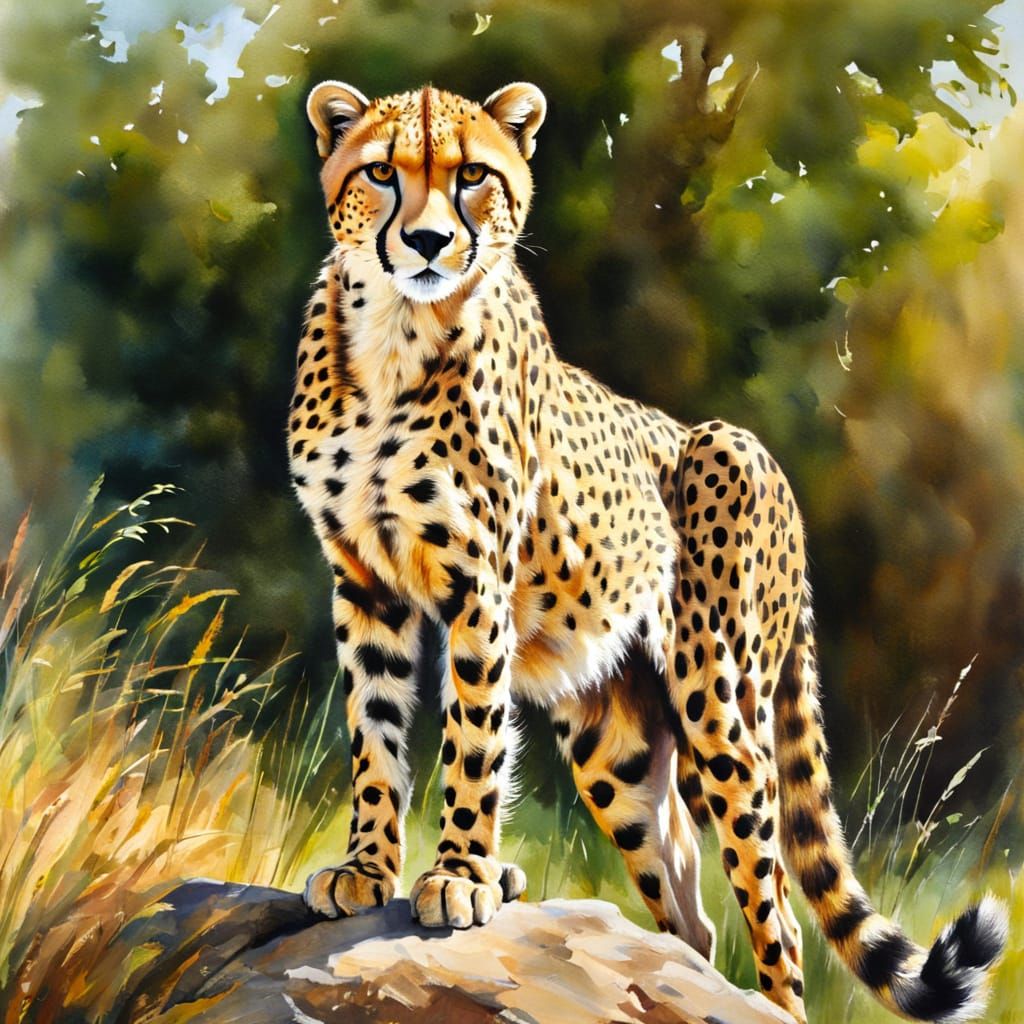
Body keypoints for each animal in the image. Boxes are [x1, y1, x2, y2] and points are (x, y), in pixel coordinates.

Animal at [287, 79, 1007, 1023]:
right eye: (380, 172)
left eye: (473, 175)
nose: (431, 242)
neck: (396, 334)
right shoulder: (364, 581)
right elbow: (373, 733)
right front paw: (369, 868)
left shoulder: (480, 585)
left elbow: (472, 741)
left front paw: (460, 877)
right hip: (617, 747)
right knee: (690, 926)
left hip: (719, 697)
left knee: (775, 910)